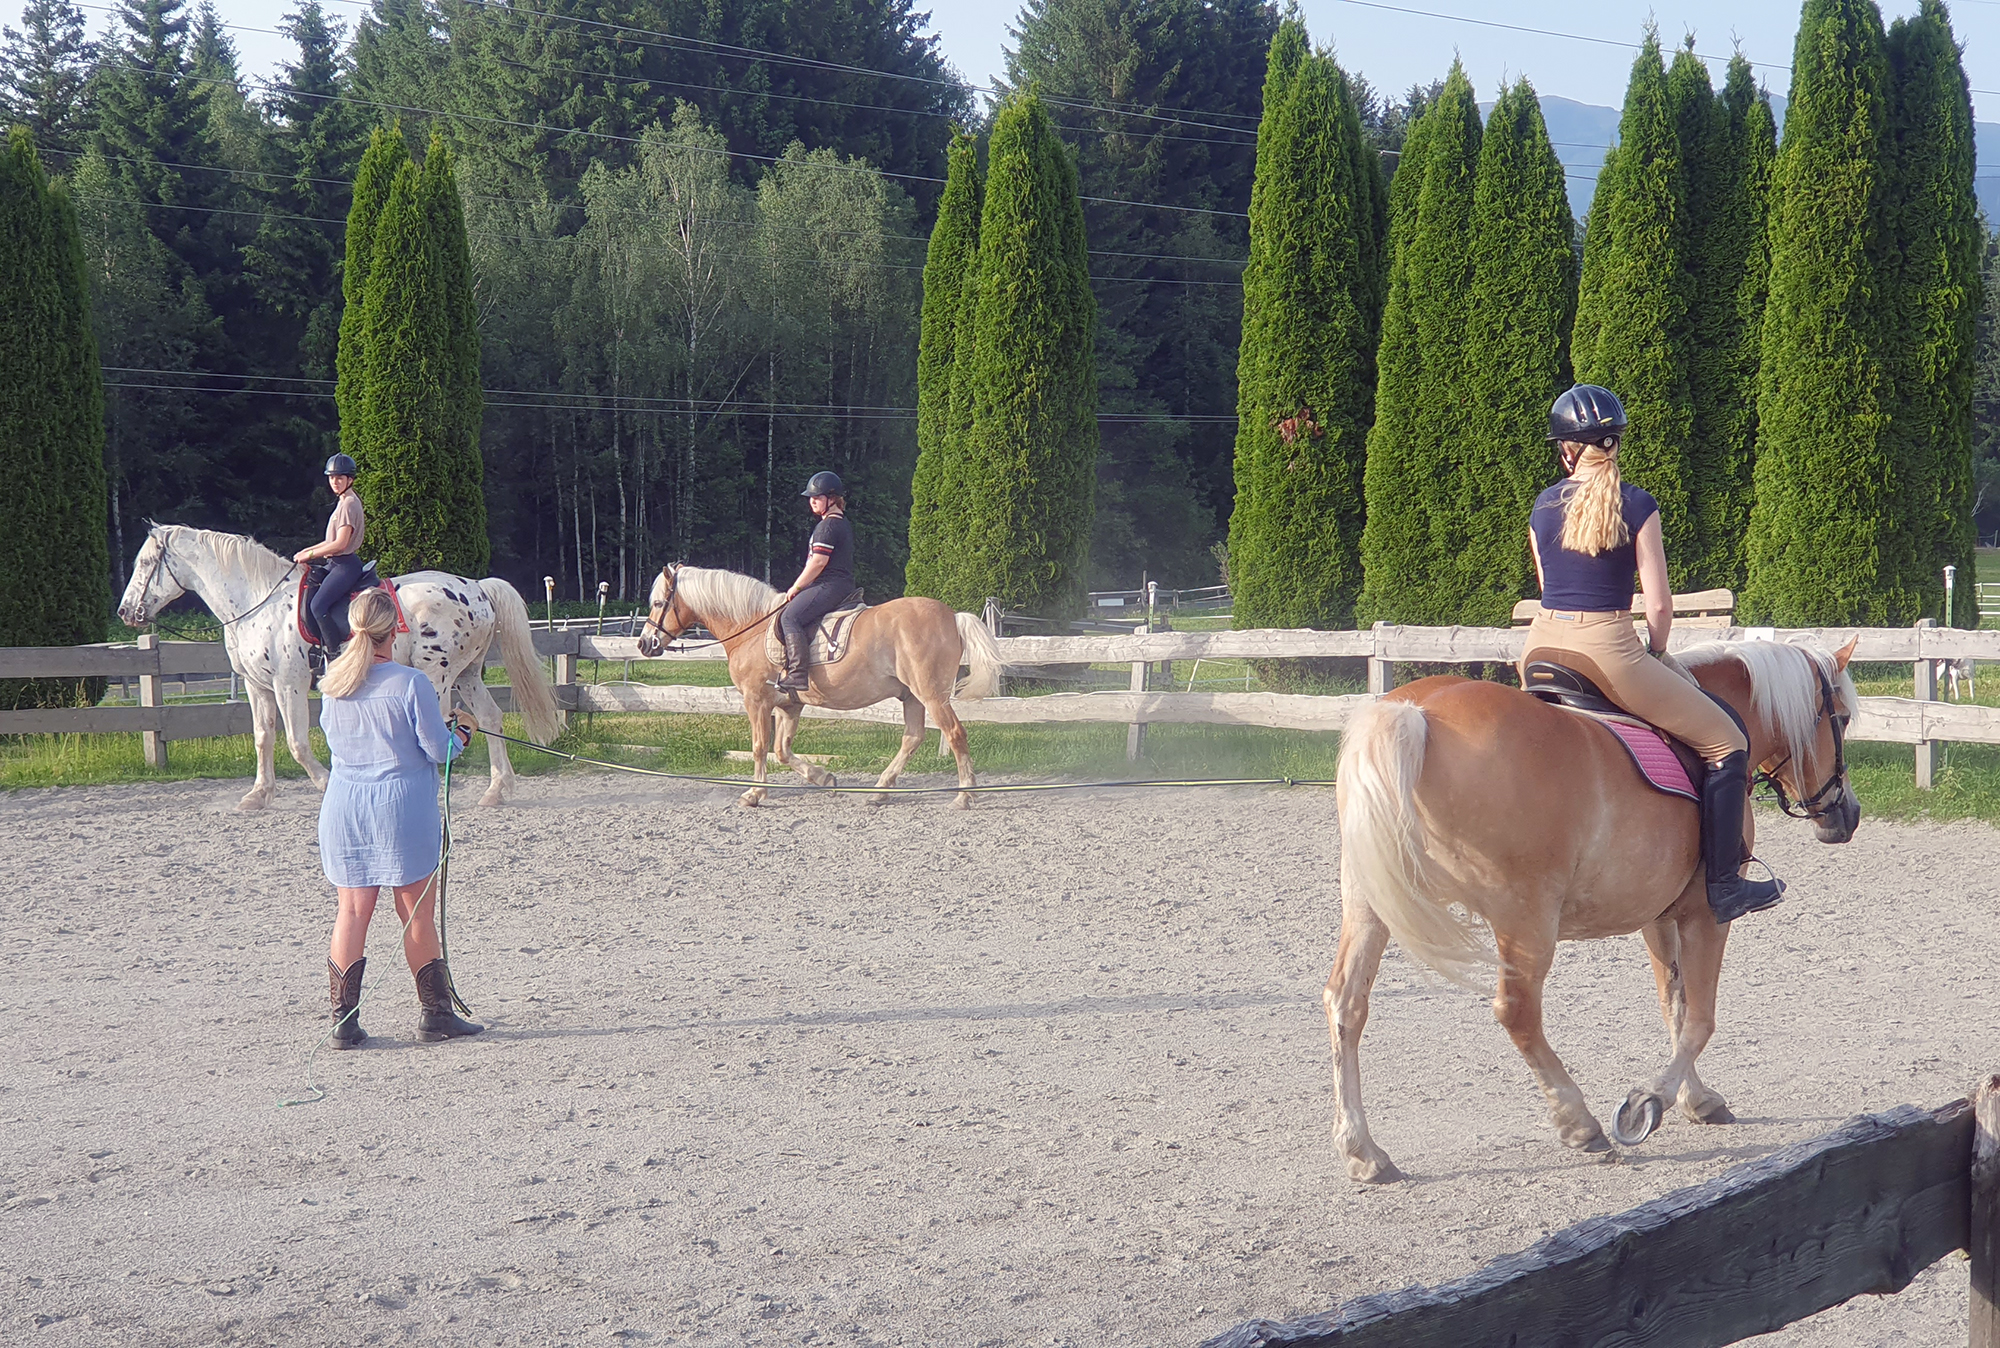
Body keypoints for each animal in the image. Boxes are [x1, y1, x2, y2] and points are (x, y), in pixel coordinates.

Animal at [116, 524, 560, 811]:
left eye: (145, 563)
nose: (124, 611)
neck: (257, 600)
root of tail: (477, 587)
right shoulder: (257, 686)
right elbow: (263, 738)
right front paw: (257, 795)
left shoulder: (289, 684)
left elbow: (296, 742)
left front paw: (326, 783)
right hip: (467, 674)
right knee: (490, 717)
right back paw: (496, 791)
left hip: (439, 674)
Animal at [635, 564, 1004, 808]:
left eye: (658, 604)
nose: (644, 643)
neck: (751, 626)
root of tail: (952, 616)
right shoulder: (789, 704)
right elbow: (782, 750)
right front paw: (824, 778)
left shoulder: (757, 700)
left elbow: (760, 746)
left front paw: (755, 793)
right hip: (911, 695)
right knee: (912, 738)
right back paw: (880, 790)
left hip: (930, 694)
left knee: (955, 734)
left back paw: (964, 795)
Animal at [1326, 636, 1862, 1182]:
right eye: (1840, 719)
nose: (1848, 815)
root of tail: (1415, 710)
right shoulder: (1705, 915)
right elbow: (1700, 1018)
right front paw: (1649, 1102)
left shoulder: (1659, 916)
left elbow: (1674, 1003)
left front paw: (1695, 1098)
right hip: (1526, 918)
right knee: (1517, 1012)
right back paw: (1579, 1122)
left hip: (1369, 903)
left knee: (1347, 1003)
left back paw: (1363, 1151)